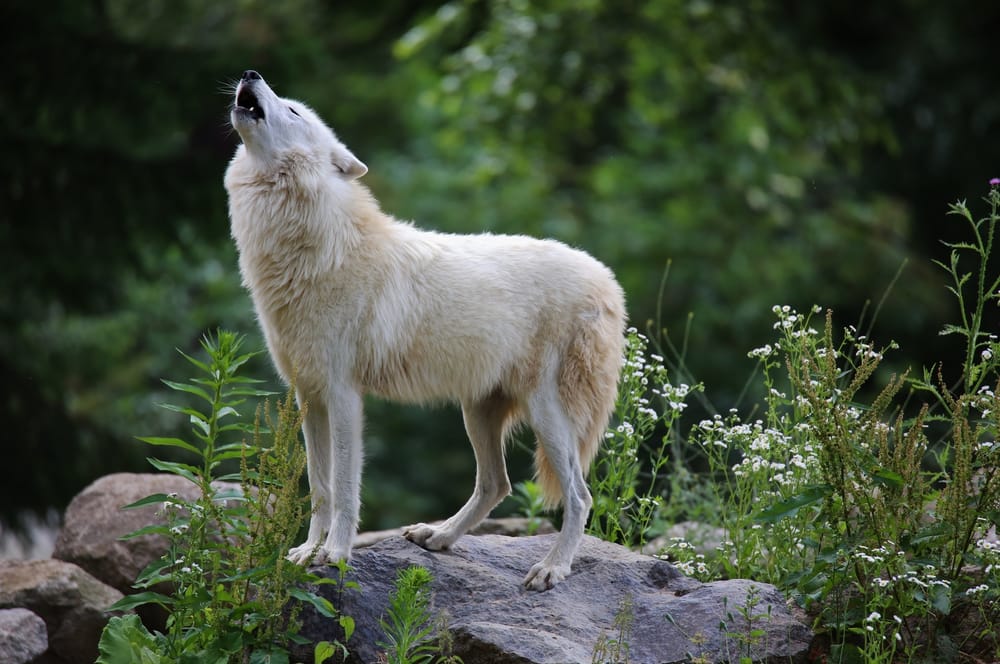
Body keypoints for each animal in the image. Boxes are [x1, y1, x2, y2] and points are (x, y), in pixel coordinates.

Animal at [225, 70, 624, 588]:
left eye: (293, 110)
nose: (251, 74)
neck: (317, 246)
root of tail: (607, 280)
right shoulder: (308, 397)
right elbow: (319, 489)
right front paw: (307, 552)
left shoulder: (343, 395)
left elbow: (345, 488)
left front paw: (336, 555)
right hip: (477, 412)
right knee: (496, 483)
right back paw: (438, 536)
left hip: (547, 415)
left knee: (578, 494)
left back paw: (552, 568)